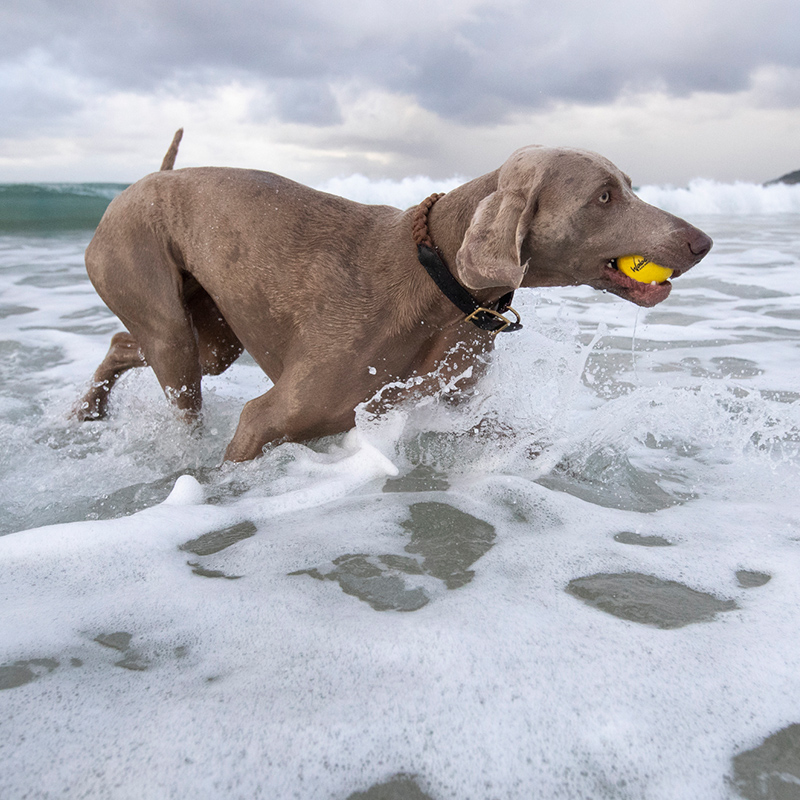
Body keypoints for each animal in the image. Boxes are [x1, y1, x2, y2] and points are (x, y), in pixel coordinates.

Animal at [76, 128, 712, 460]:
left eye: (627, 186)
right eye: (604, 196)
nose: (703, 241)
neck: (436, 281)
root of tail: (145, 180)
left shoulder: (455, 406)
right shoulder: (266, 420)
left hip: (210, 335)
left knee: (122, 343)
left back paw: (86, 414)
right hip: (157, 302)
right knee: (167, 366)